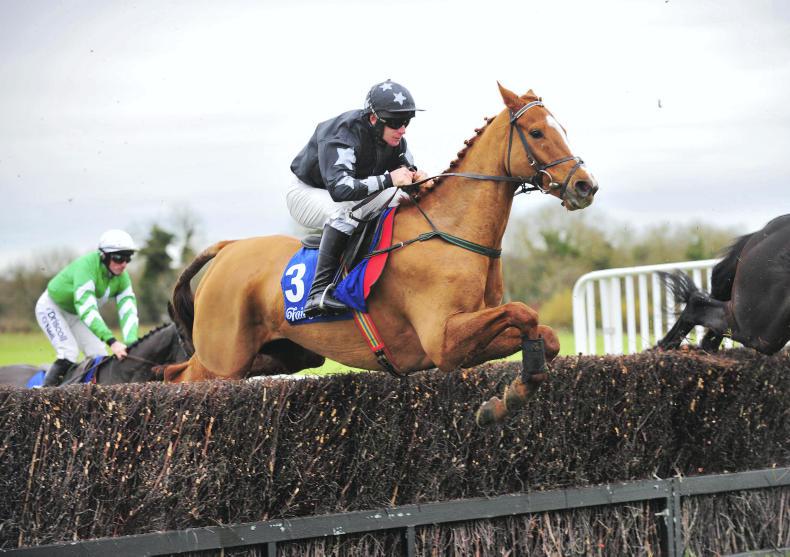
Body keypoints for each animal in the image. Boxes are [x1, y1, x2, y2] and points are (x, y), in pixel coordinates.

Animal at [164, 83, 599, 425]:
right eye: (537, 132)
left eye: (562, 129)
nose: (585, 186)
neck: (451, 233)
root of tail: (227, 249)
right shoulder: (443, 341)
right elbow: (524, 312)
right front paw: (506, 399)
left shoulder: (464, 340)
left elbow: (545, 335)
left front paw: (507, 398)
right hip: (223, 359)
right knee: (180, 380)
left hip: (285, 355)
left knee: (174, 371)